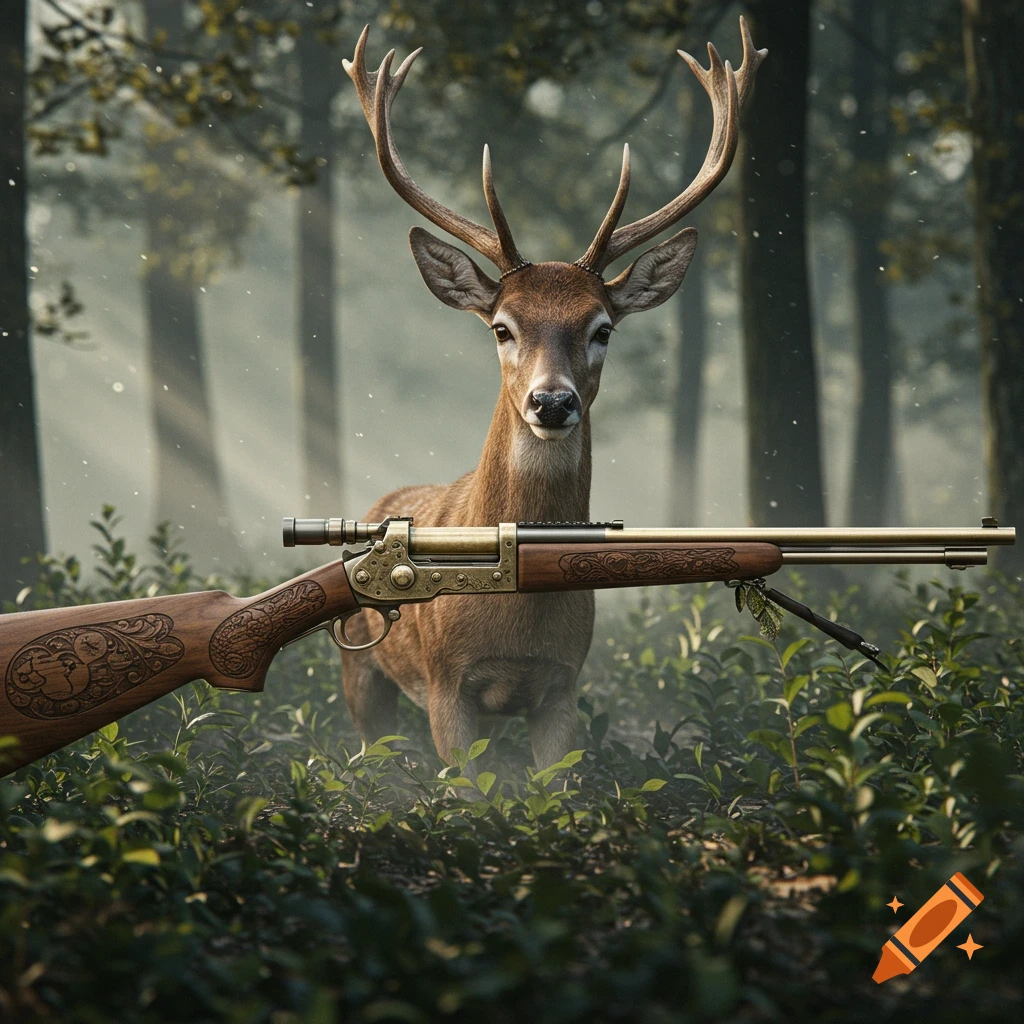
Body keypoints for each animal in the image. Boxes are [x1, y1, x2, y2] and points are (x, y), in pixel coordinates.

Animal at [339, 20, 766, 768]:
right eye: (502, 327)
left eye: (602, 329)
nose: (552, 403)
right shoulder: (447, 685)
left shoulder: (564, 685)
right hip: (361, 669)